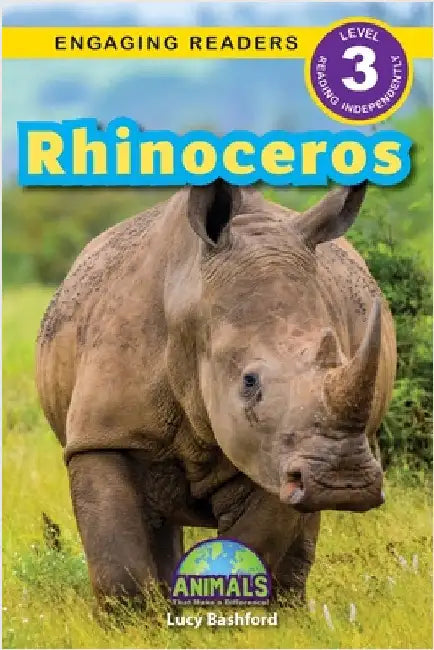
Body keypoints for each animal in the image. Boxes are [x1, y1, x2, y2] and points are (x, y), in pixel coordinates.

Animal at [36, 180, 396, 604]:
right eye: (249, 382)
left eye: (341, 357)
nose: (344, 482)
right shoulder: (104, 434)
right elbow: (119, 567)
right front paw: (137, 619)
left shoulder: (273, 453)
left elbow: (252, 547)